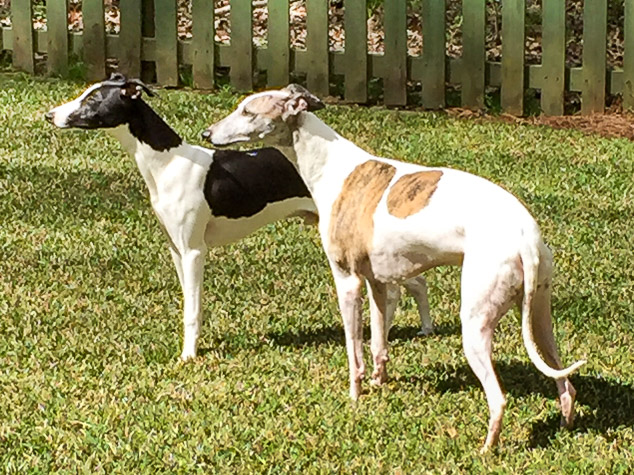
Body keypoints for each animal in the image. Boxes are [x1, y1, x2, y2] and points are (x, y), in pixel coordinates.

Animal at [43, 75, 430, 360]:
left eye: (93, 100)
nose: (50, 115)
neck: (168, 161)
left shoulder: (194, 252)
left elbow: (192, 309)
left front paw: (189, 355)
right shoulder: (176, 250)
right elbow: (188, 302)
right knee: (415, 282)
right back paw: (421, 328)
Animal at [202, 85, 584, 454]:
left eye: (248, 111)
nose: (207, 133)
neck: (332, 166)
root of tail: (525, 236)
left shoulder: (348, 281)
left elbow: (353, 348)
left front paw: (355, 394)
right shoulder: (378, 283)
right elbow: (378, 343)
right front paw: (379, 381)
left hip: (476, 322)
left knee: (499, 398)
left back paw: (487, 449)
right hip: (540, 316)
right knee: (565, 382)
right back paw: (564, 424)